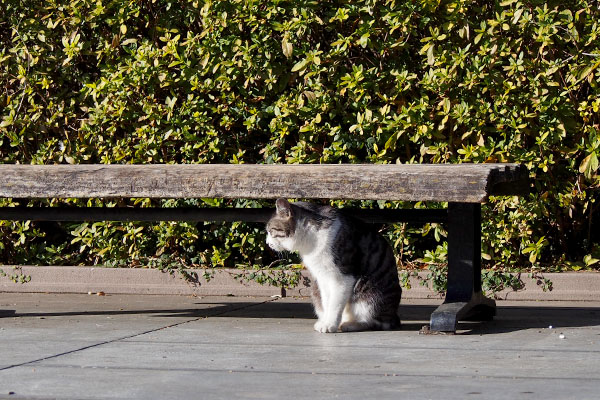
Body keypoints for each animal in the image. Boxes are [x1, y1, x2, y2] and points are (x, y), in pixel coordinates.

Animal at [264, 198, 400, 332]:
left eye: (270, 231)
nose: (267, 243)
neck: (311, 238)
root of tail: (394, 317)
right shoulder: (322, 276)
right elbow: (327, 301)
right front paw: (325, 321)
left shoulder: (342, 277)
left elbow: (335, 304)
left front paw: (329, 324)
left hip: (371, 295)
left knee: (374, 321)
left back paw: (350, 325)